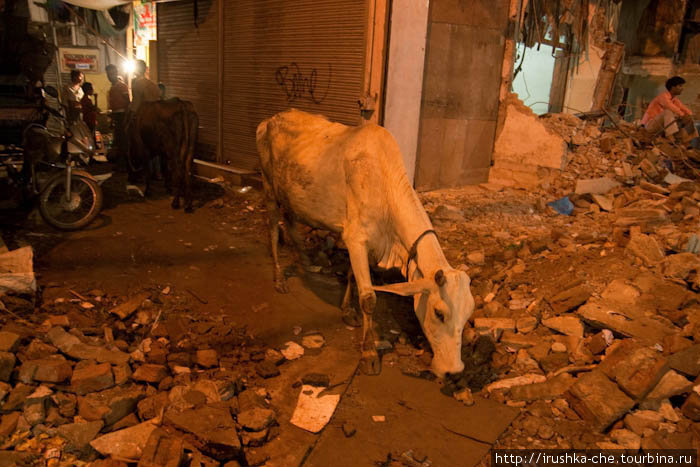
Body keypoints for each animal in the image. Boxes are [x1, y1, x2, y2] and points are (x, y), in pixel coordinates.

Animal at [254, 109, 474, 376]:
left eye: (468, 314)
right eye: (439, 313)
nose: (454, 370)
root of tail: (271, 119)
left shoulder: (363, 243)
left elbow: (351, 276)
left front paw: (348, 312)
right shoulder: (356, 238)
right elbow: (369, 298)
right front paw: (369, 353)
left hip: (291, 194)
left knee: (291, 221)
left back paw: (305, 262)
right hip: (268, 187)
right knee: (274, 230)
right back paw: (279, 278)